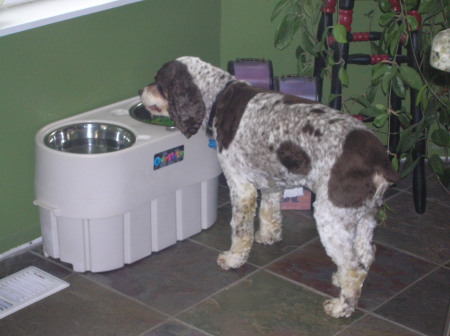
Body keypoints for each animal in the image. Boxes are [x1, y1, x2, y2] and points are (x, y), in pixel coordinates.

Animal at [140, 57, 398, 318]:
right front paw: (268, 237)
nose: (140, 90)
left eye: (158, 82)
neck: (219, 97)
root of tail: (380, 160)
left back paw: (341, 307)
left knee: (354, 268)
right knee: (366, 254)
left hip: (331, 216)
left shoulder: (240, 186)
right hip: (364, 216)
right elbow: (270, 212)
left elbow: (240, 230)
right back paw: (339, 279)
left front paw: (233, 259)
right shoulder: (271, 182)